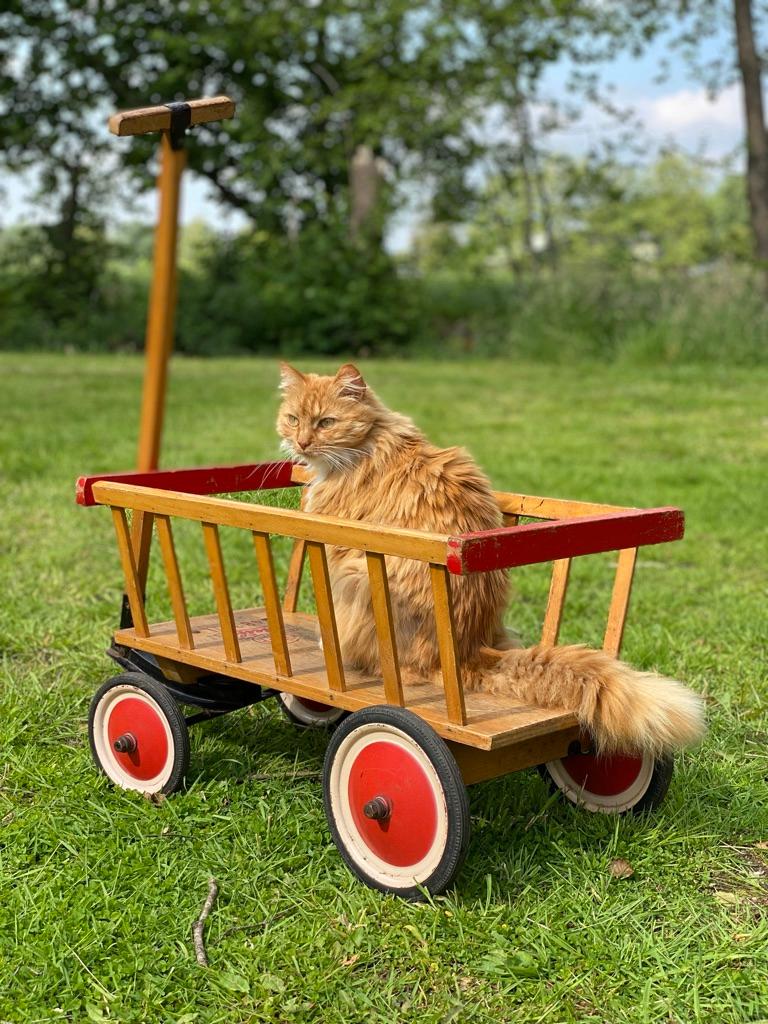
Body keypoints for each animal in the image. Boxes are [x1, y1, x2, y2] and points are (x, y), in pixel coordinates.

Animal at [280, 362, 708, 753]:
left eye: (326, 422)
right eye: (293, 419)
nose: (301, 443)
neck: (371, 441)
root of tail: (466, 649)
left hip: (355, 578)